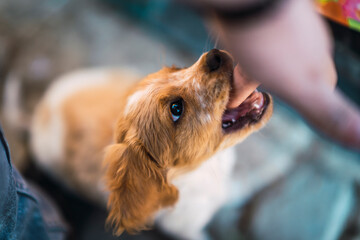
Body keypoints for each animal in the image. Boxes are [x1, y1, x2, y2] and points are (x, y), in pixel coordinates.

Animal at [31, 49, 272, 240]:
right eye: (176, 109)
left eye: (177, 69)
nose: (215, 55)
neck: (200, 170)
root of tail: (43, 106)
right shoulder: (186, 228)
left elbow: (238, 187)